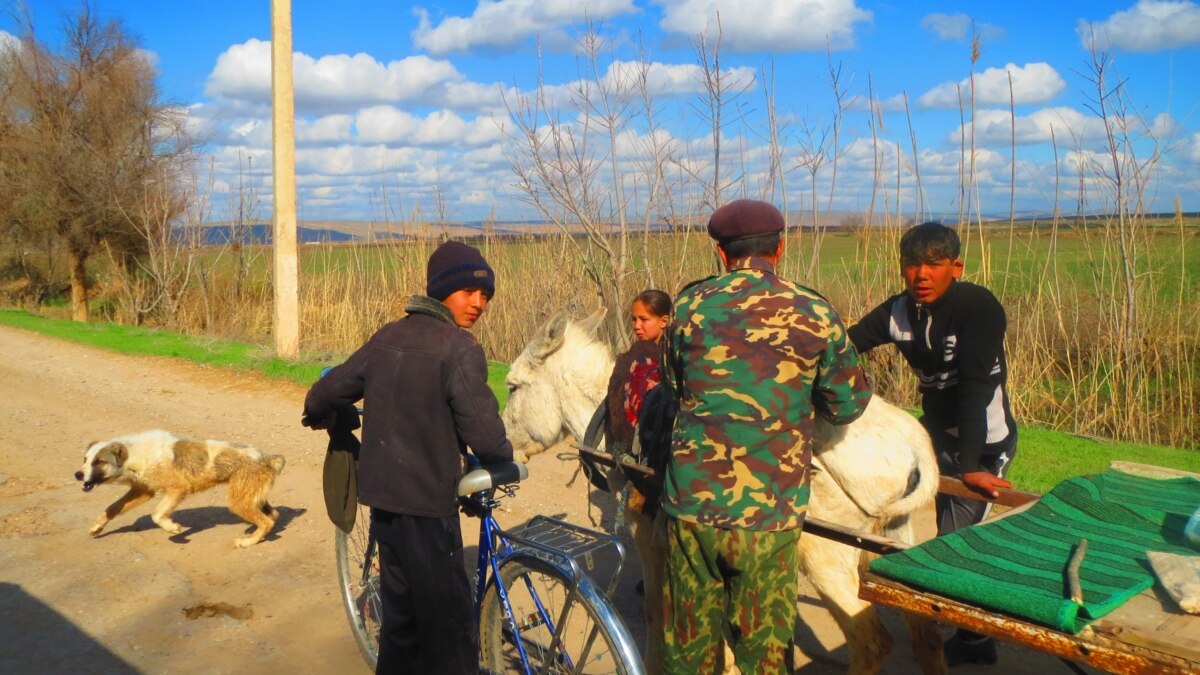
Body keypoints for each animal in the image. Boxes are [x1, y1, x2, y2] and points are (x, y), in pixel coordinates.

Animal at [75, 429, 285, 547]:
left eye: (99, 462)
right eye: (85, 459)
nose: (77, 474)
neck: (133, 455)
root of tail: (267, 458)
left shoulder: (177, 489)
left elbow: (157, 514)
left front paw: (173, 528)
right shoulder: (143, 490)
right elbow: (112, 508)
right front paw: (96, 527)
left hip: (238, 501)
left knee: (267, 521)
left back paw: (248, 542)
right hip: (249, 495)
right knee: (273, 515)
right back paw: (256, 534)